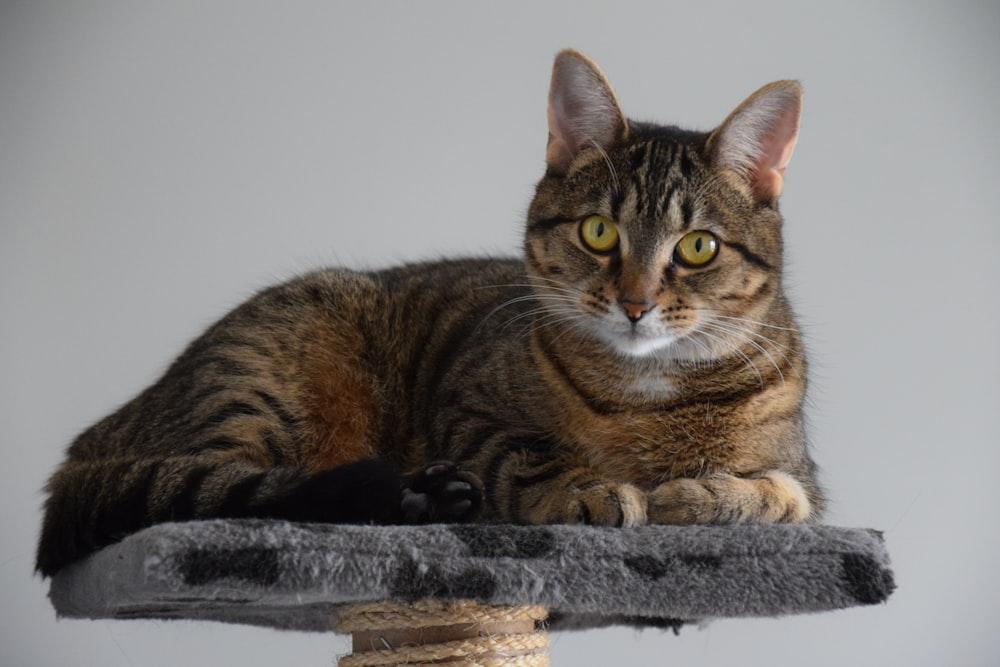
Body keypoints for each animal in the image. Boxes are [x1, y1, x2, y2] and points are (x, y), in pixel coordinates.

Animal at [37, 51, 820, 580]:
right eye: (600, 232)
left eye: (697, 247)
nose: (635, 303)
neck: (646, 399)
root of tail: (95, 439)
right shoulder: (466, 406)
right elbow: (527, 455)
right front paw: (586, 488)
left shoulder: (804, 475)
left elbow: (781, 495)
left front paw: (704, 493)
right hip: (259, 381)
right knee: (231, 495)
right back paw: (416, 497)